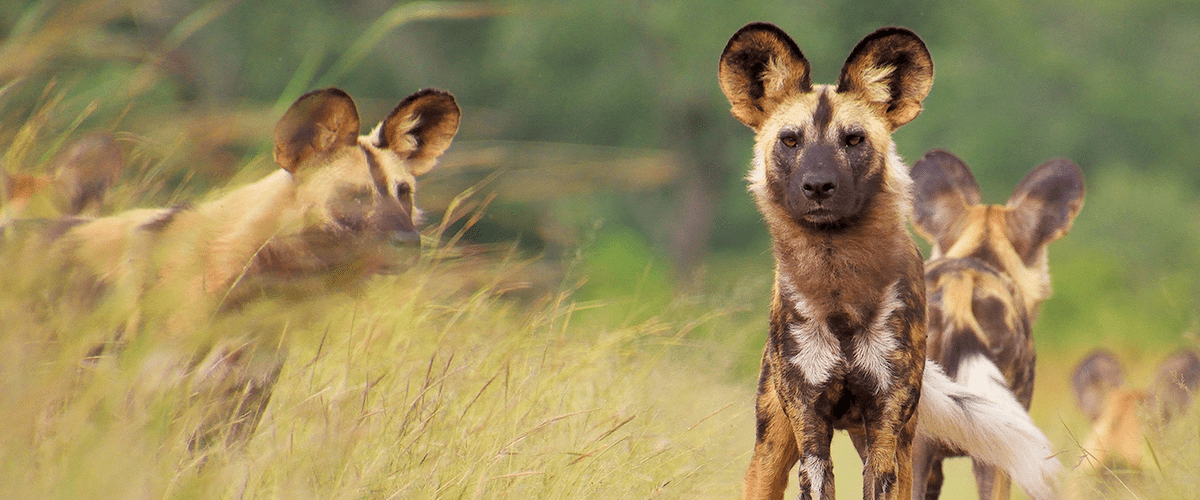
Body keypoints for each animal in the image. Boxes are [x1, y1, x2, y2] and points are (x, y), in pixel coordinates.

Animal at [715, 22, 1065, 498]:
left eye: (854, 140)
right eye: (790, 140)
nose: (818, 185)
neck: (838, 288)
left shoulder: (886, 426)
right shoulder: (810, 427)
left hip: (897, 441)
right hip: (773, 447)